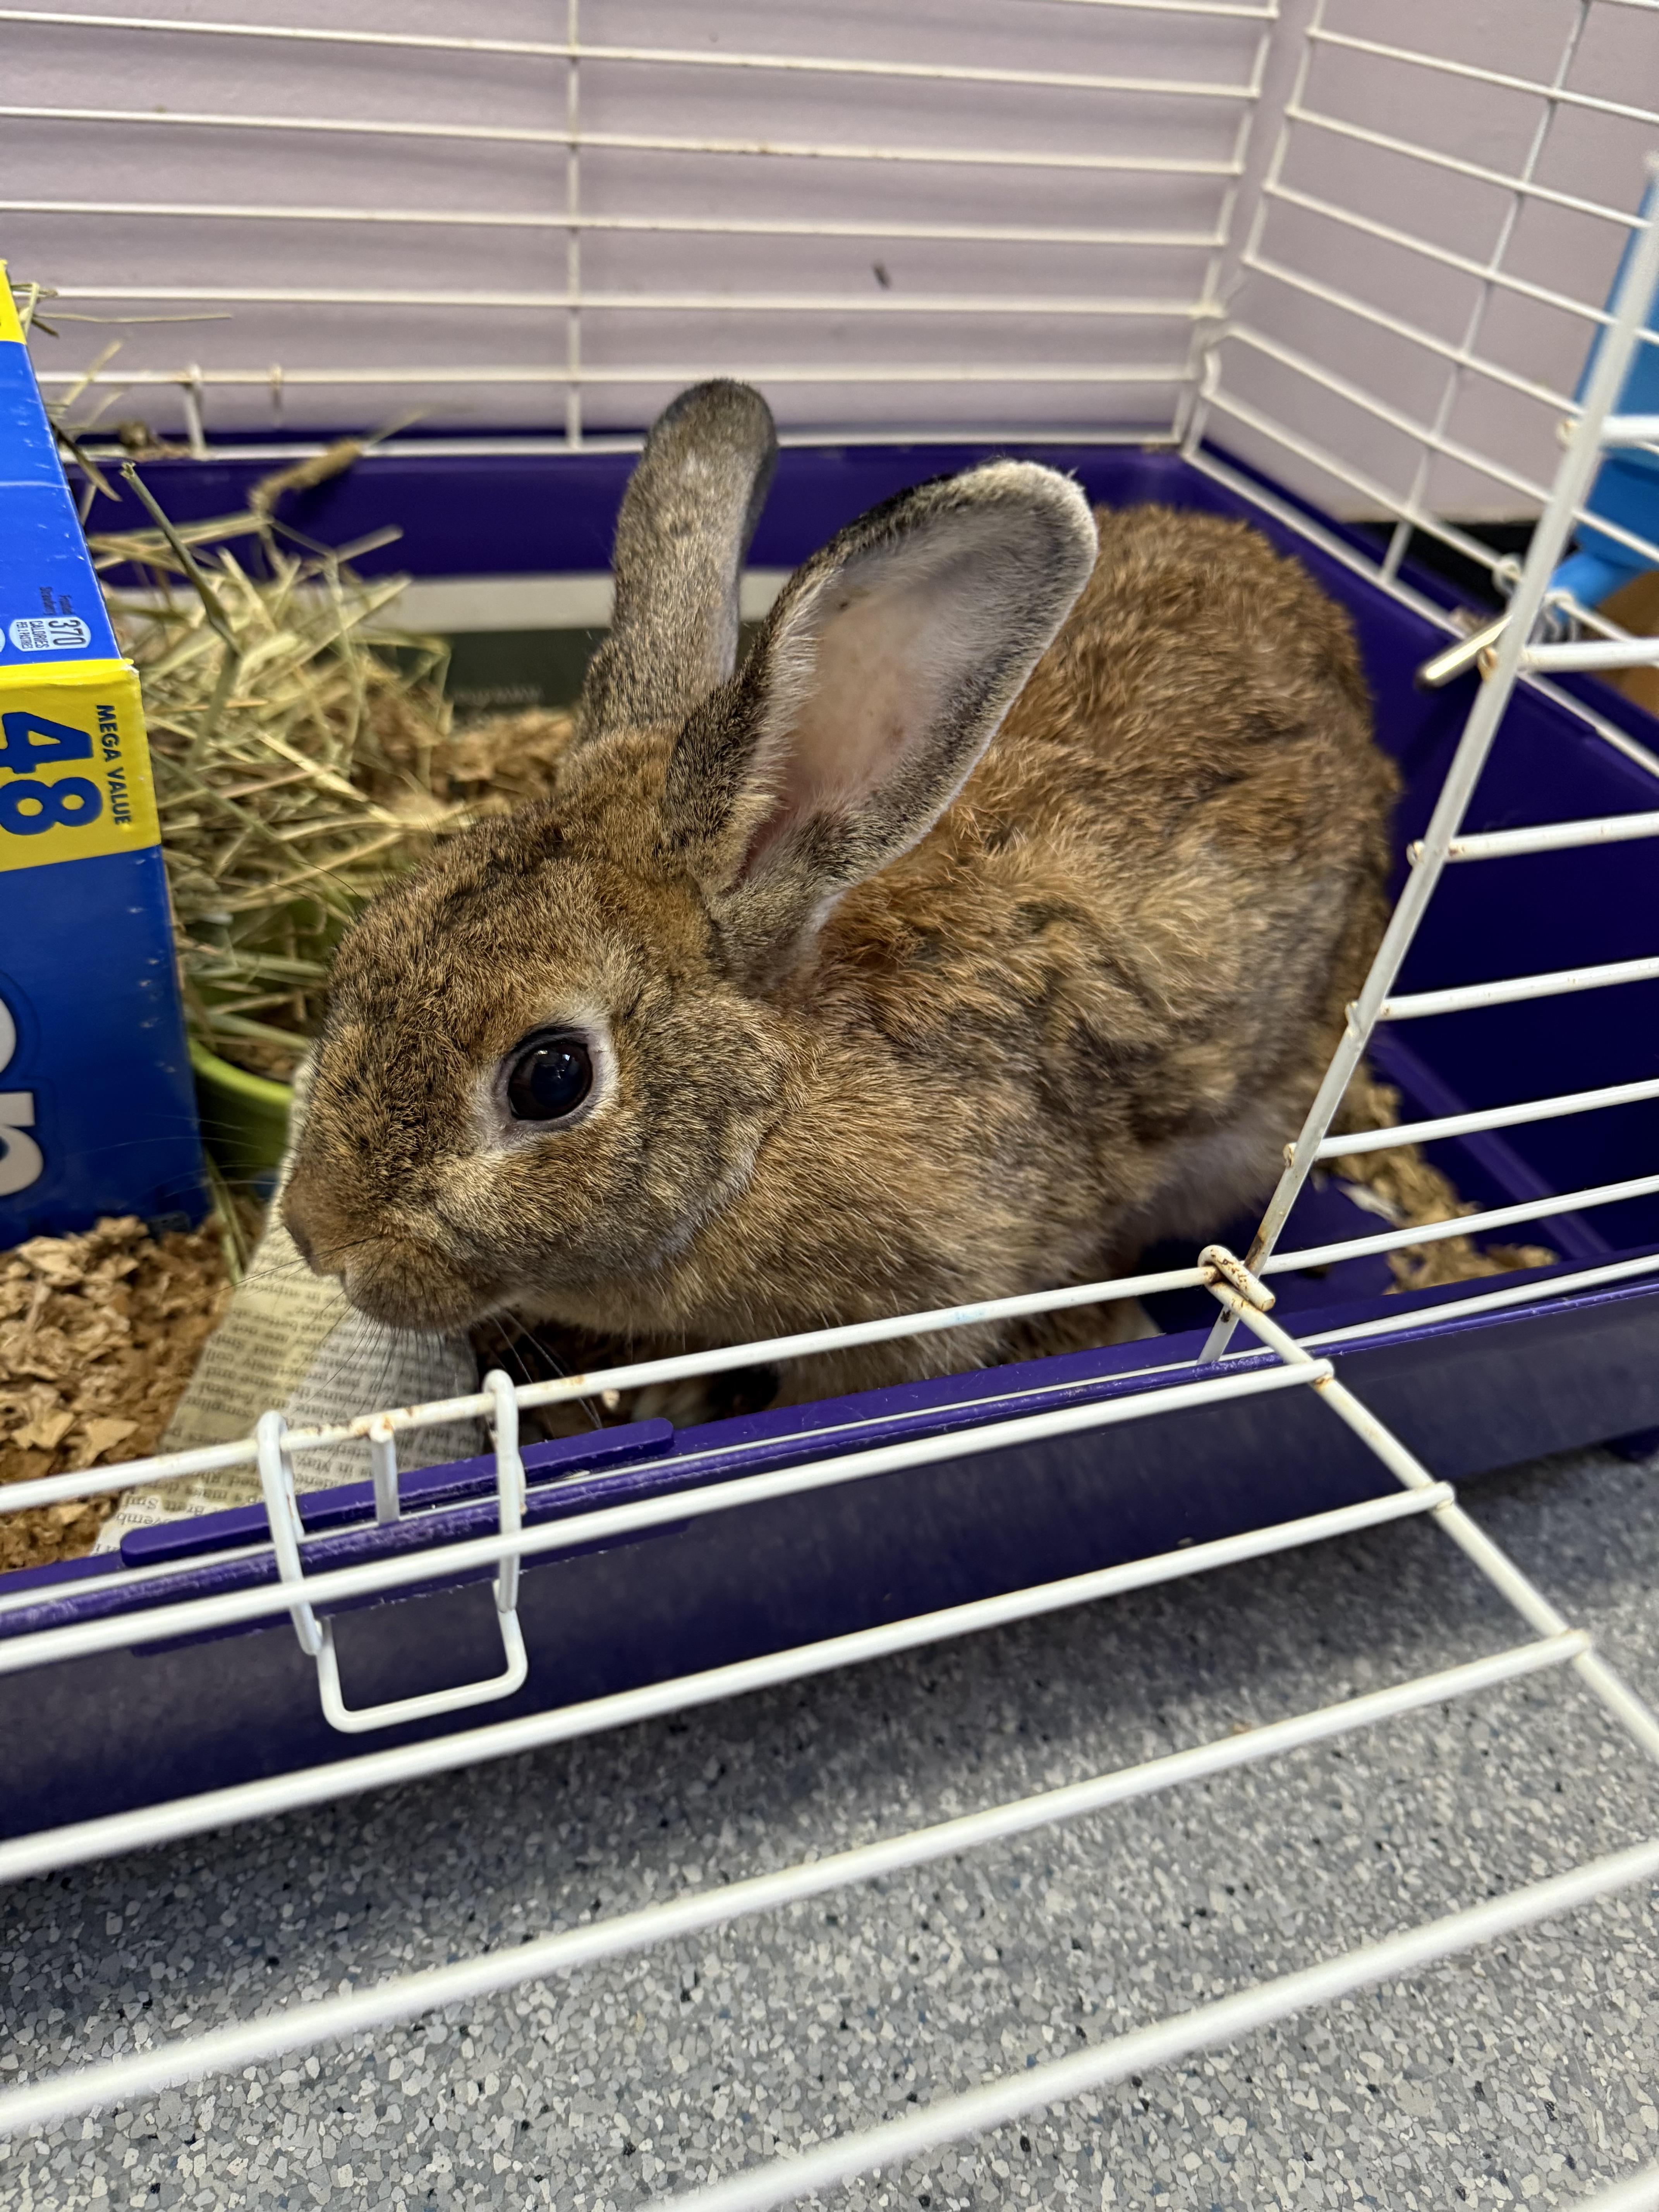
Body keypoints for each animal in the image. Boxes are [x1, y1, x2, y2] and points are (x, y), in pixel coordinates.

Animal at [282, 379, 1398, 1416]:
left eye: (551, 1078)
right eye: (367, 941)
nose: (320, 1237)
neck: (772, 1111)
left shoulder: (917, 1314)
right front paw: (668, 1400)